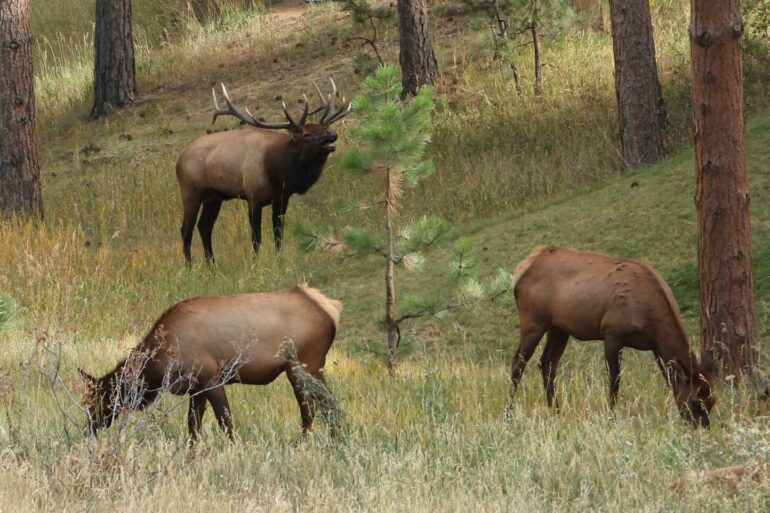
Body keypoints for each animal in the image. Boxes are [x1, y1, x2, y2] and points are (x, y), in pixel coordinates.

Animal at [77, 286, 343, 444]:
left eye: (96, 402)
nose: (87, 432)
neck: (160, 367)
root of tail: (331, 308)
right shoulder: (195, 388)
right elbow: (193, 427)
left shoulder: (210, 378)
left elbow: (225, 422)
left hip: (304, 364)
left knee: (318, 406)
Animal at [176, 79, 351, 262]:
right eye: (307, 134)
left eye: (323, 128)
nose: (332, 134)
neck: (277, 171)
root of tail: (179, 159)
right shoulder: (253, 198)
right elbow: (256, 237)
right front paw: (255, 263)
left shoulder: (281, 198)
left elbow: (278, 233)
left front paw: (279, 259)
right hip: (190, 190)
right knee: (186, 229)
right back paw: (189, 265)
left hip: (214, 197)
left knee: (204, 226)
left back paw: (212, 264)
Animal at [507, 245, 715, 427]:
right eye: (695, 401)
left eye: (712, 401)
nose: (702, 427)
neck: (650, 321)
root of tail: (520, 269)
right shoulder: (612, 333)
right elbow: (614, 381)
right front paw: (611, 418)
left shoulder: (656, 348)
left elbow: (668, 380)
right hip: (533, 320)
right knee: (518, 363)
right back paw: (508, 416)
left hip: (559, 328)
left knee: (547, 364)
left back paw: (556, 412)